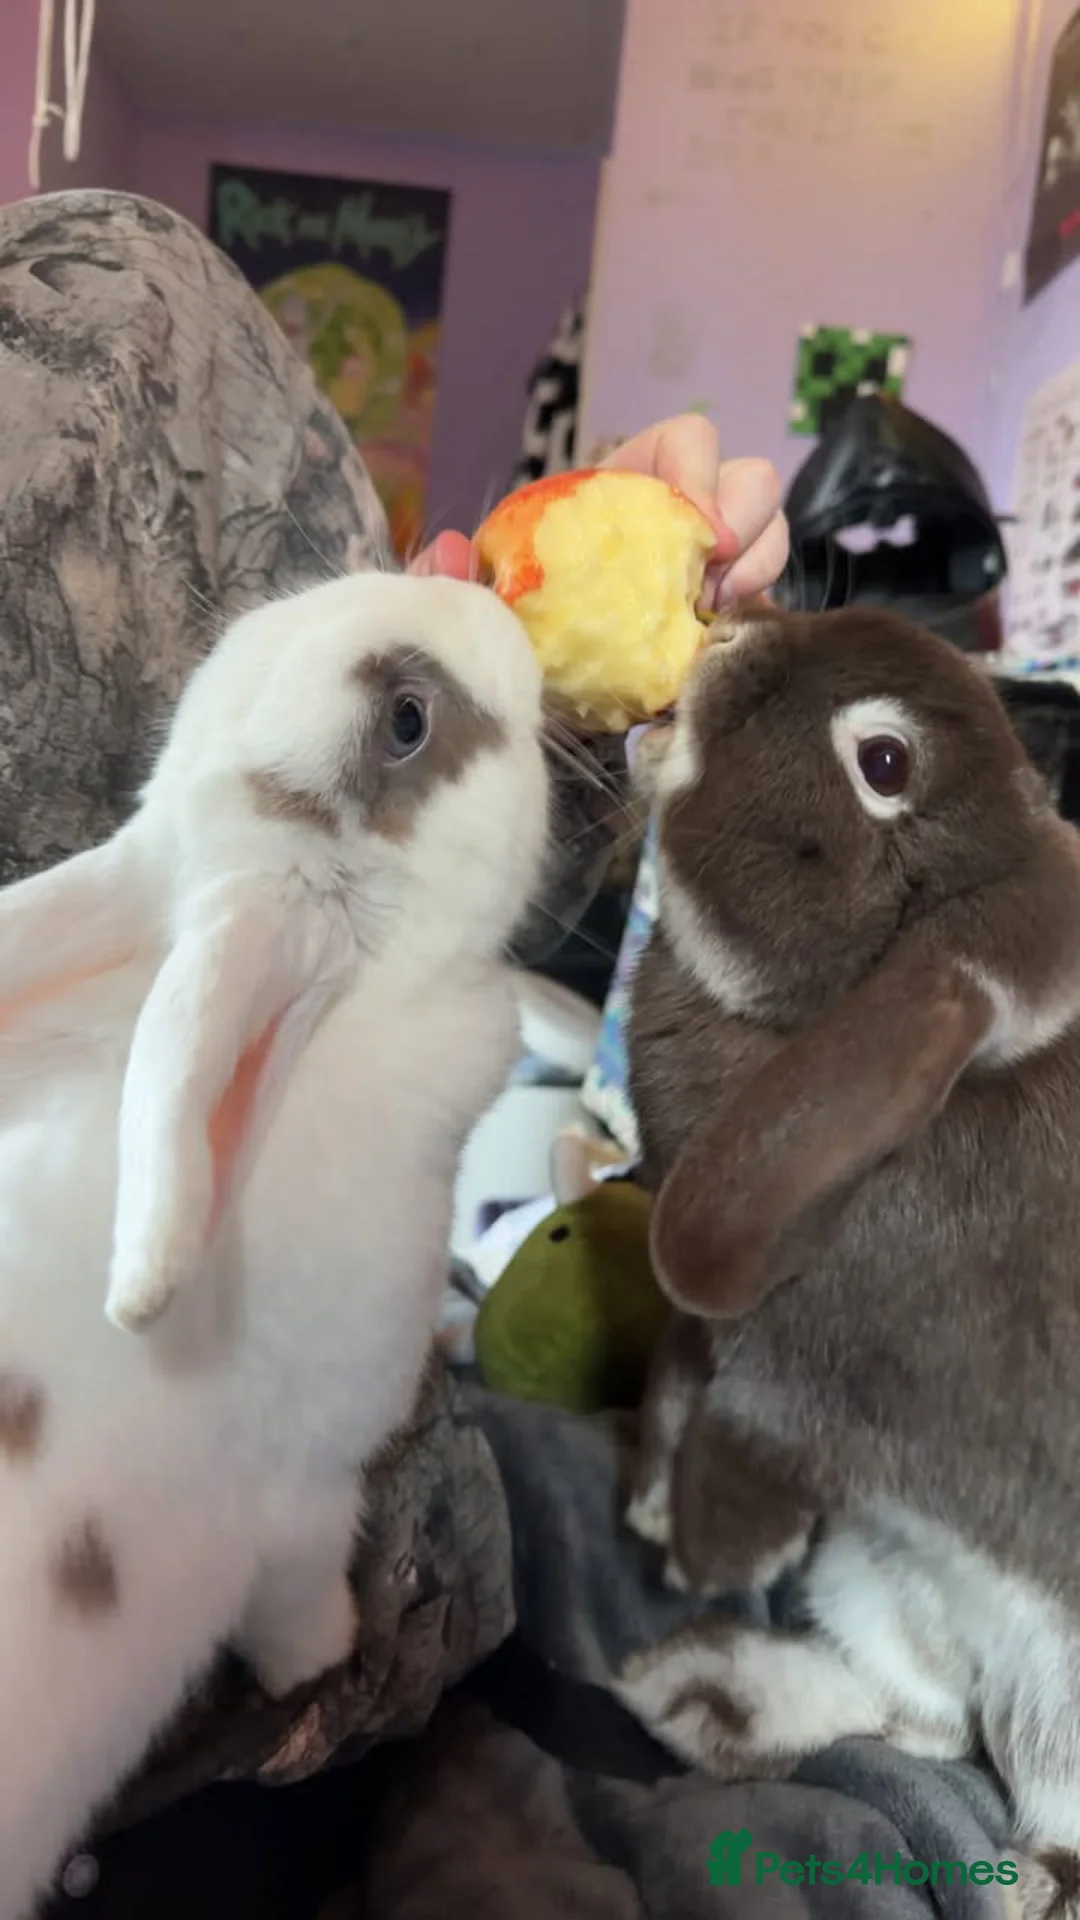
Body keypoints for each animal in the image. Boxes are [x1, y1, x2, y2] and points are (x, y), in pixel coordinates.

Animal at [614, 603, 1080, 1905]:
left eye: (881, 760)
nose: (730, 629)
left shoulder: (814, 1389)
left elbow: (749, 1427)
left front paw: (702, 1544)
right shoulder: (713, 1323)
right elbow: (678, 1372)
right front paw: (653, 1516)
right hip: (870, 1583)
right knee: (915, 1726)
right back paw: (702, 1692)